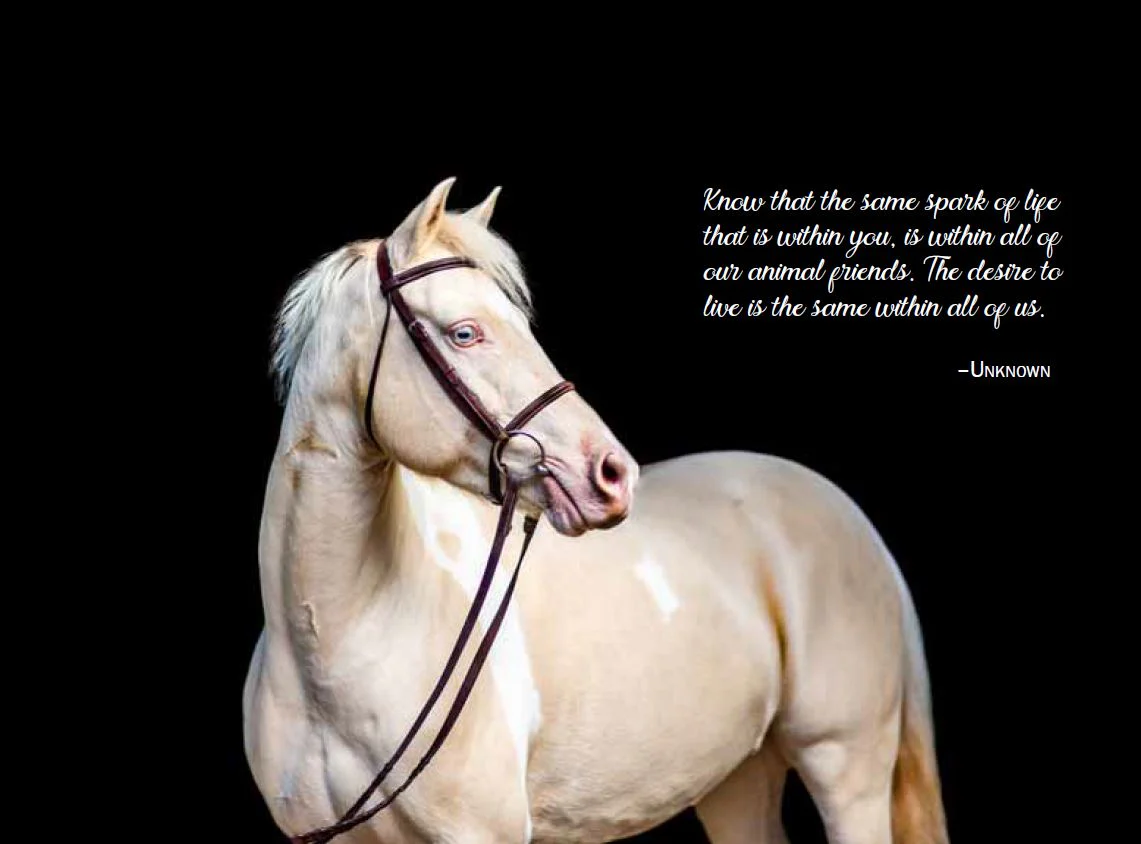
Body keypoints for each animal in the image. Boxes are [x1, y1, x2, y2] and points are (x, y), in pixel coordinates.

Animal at [243, 177, 949, 844]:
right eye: (465, 332)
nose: (611, 474)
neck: (340, 644)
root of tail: (852, 518)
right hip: (738, 780)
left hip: (847, 770)